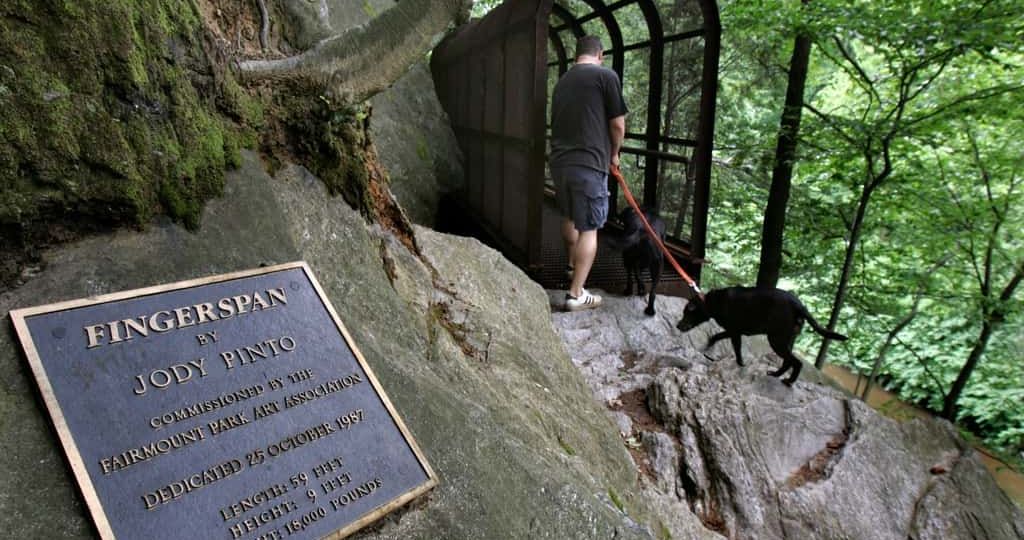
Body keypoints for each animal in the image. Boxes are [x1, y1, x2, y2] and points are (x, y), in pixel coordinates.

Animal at [679, 286, 847, 385]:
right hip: (785, 340)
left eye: (686, 313)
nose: (677, 326)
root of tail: (799, 306)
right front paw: (709, 346)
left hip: (776, 340)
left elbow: (735, 348)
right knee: (788, 362)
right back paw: (775, 374)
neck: (711, 302)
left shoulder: (734, 332)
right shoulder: (734, 331)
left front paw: (740, 364)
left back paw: (789, 381)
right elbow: (716, 336)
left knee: (797, 363)